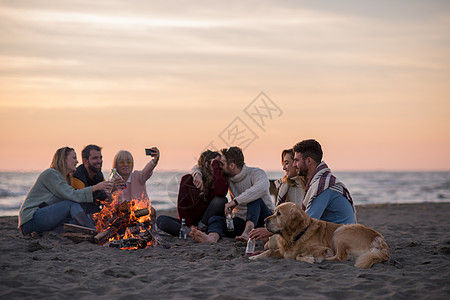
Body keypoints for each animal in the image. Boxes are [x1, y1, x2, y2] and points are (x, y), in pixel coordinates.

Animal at [250, 203, 390, 268]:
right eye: (274, 212)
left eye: (278, 214)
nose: (264, 221)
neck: (298, 234)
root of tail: (380, 241)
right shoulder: (284, 251)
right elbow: (269, 251)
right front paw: (254, 257)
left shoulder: (318, 247)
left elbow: (298, 256)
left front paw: (310, 258)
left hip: (341, 231)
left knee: (340, 257)